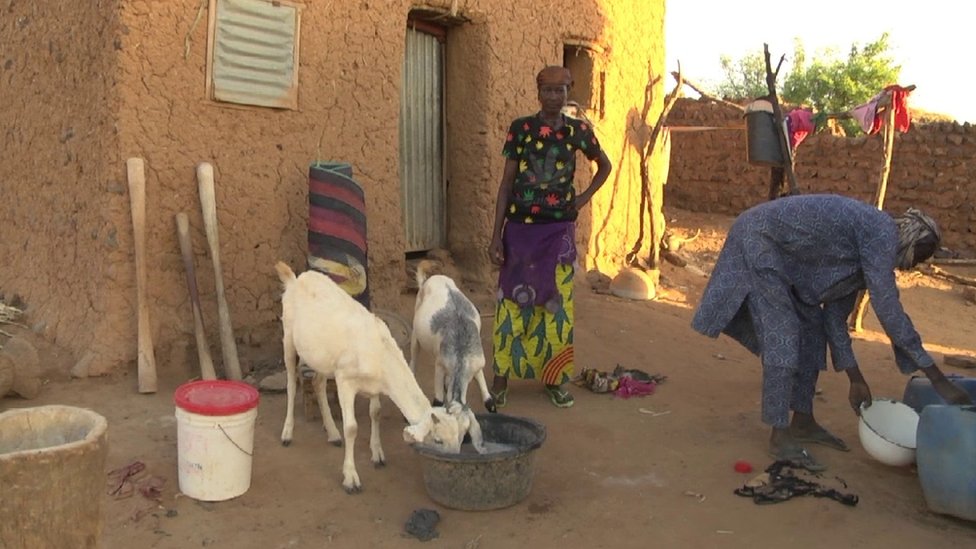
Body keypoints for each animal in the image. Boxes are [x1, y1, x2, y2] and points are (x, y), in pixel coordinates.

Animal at [276, 262, 482, 492]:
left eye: (461, 437)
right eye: (437, 440)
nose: (453, 462)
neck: (379, 352)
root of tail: (295, 279)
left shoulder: (375, 386)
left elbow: (375, 413)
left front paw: (377, 455)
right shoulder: (344, 380)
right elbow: (351, 428)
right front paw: (351, 478)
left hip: (322, 358)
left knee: (317, 383)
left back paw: (333, 433)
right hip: (288, 337)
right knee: (292, 384)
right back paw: (287, 433)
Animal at [410, 260, 496, 412]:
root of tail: (429, 279)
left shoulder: (476, 364)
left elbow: (487, 398)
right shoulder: (440, 365)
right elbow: (438, 401)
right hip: (415, 333)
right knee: (413, 358)